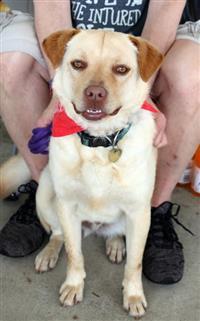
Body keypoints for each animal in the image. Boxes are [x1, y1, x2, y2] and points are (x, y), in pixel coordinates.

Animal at [1, 28, 163, 318]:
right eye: (78, 64)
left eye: (121, 69)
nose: (95, 93)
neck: (99, 142)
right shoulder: (67, 205)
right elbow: (74, 253)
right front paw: (73, 285)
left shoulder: (139, 211)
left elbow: (135, 264)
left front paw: (133, 295)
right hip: (45, 191)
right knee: (57, 234)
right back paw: (49, 253)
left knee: (116, 233)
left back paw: (115, 243)